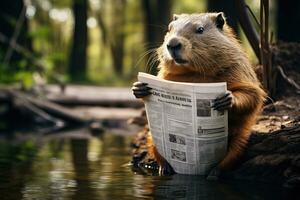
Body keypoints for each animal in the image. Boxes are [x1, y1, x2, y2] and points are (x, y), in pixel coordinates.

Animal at [132, 12, 266, 178]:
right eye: (170, 28)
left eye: (200, 29)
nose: (173, 44)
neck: (193, 73)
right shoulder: (164, 76)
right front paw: (139, 88)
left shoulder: (240, 70)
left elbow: (252, 94)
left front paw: (226, 99)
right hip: (152, 136)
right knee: (156, 149)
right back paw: (165, 168)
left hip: (240, 137)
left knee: (231, 155)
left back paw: (213, 173)